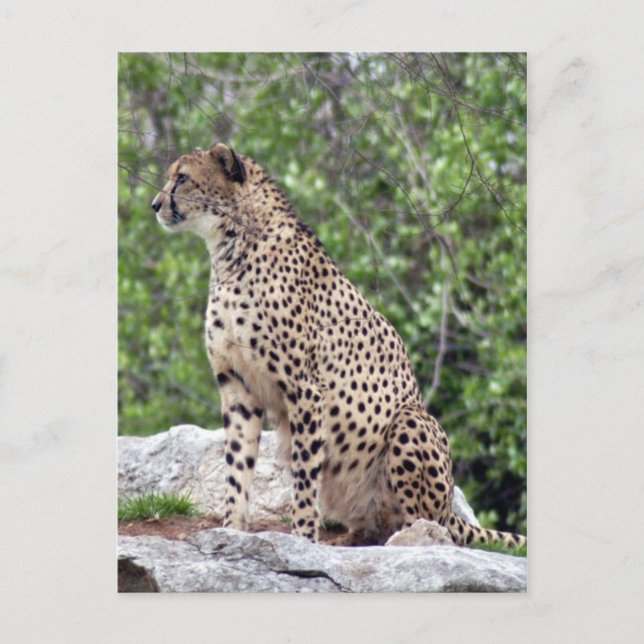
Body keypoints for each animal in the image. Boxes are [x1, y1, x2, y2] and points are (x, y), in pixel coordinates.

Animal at [151, 142, 527, 549]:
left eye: (181, 178)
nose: (155, 205)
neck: (231, 244)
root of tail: (450, 513)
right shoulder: (236, 383)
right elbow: (237, 465)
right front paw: (230, 530)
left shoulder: (305, 389)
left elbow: (303, 476)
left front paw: (303, 539)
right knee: (374, 528)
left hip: (410, 422)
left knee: (430, 526)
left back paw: (413, 537)